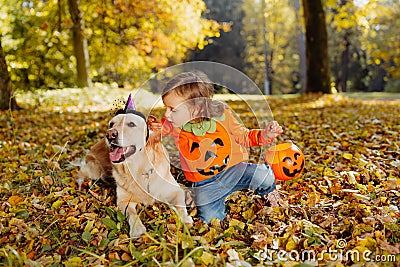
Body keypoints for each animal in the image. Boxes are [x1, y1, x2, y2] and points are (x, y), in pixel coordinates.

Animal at [78, 108, 194, 239]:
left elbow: (180, 205)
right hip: (94, 170)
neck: (138, 169)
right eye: (111, 124)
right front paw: (137, 229)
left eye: (131, 124)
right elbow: (132, 214)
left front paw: (185, 218)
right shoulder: (123, 201)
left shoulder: (175, 191)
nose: (110, 134)